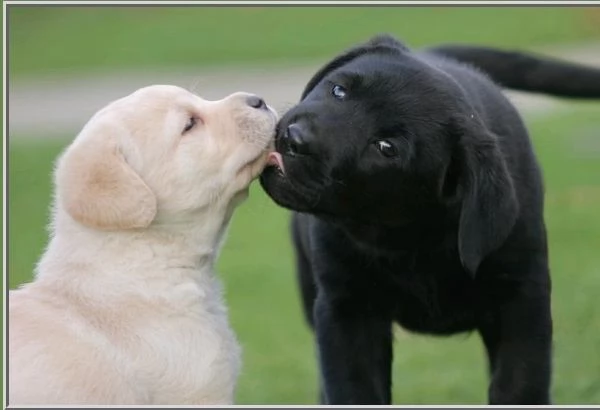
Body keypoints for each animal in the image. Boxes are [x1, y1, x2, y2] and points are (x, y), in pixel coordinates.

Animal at [260, 34, 600, 404]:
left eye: (386, 147)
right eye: (339, 90)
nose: (296, 138)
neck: (410, 238)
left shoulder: (523, 301)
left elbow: (520, 384)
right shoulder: (346, 309)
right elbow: (352, 388)